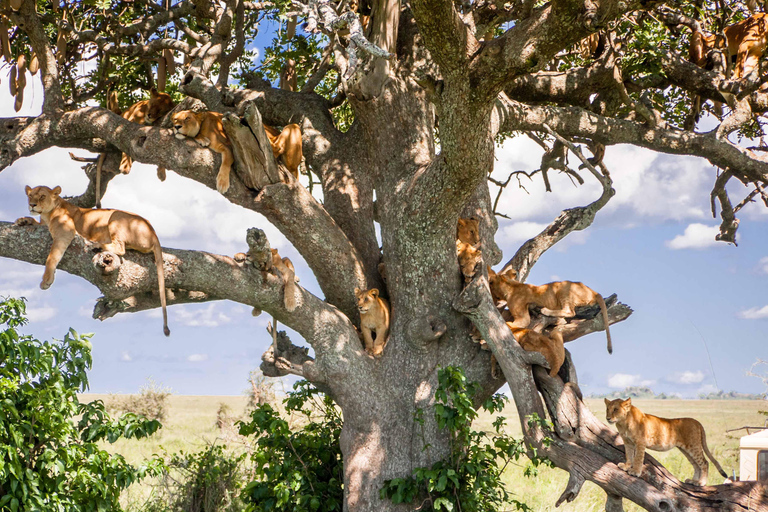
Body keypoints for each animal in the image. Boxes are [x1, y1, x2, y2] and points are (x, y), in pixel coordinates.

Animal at [15, 184, 170, 336]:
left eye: (42, 196)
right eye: (30, 195)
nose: (32, 205)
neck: (47, 215)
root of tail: (154, 233)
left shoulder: (65, 233)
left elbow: (52, 256)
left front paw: (46, 280)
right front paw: (23, 220)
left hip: (116, 216)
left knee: (120, 248)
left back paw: (96, 244)